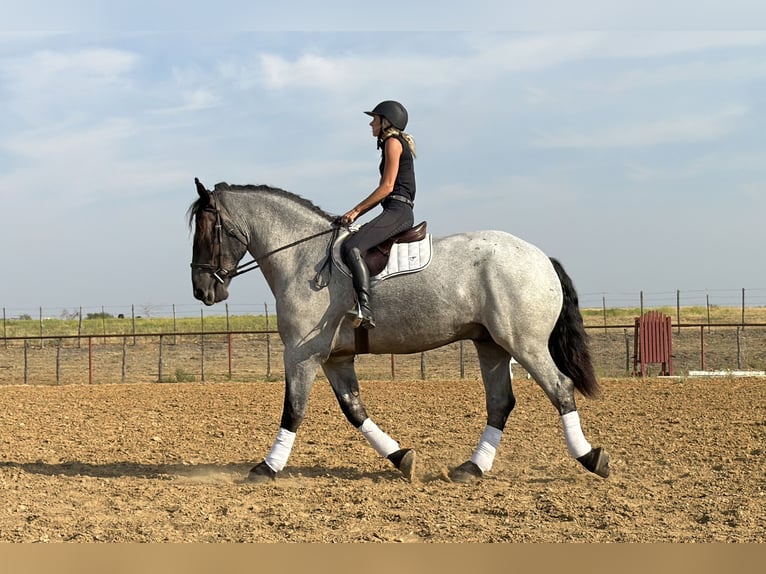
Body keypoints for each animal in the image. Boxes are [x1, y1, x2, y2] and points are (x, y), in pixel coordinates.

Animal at [188, 178, 610, 483]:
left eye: (207, 231)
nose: (202, 291)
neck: (303, 258)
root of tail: (542, 258)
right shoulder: (335, 358)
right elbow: (354, 410)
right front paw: (401, 457)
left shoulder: (301, 354)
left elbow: (293, 409)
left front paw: (267, 467)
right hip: (491, 344)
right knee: (500, 403)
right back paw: (471, 468)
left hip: (523, 343)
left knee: (559, 389)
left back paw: (592, 458)